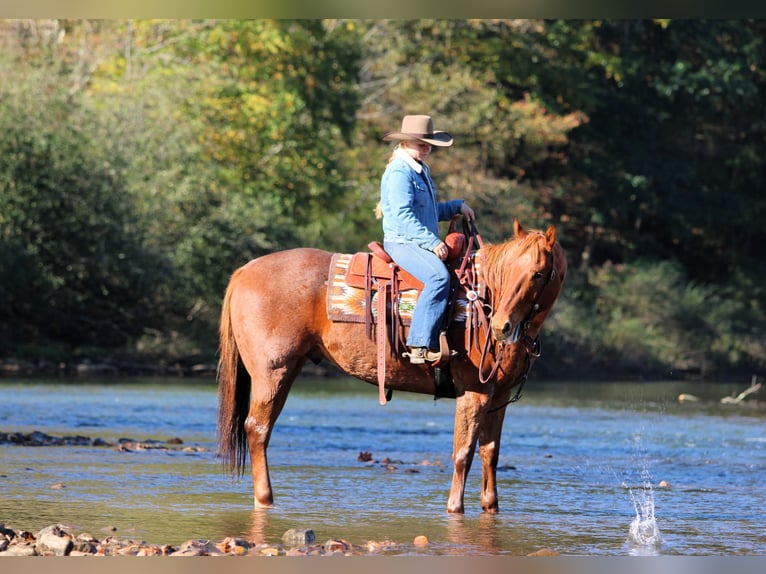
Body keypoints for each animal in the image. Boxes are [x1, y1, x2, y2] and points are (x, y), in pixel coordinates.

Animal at [217, 219, 567, 514]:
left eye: (538, 273)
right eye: (508, 270)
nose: (501, 326)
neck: (481, 301)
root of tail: (244, 271)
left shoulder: (498, 397)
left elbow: (490, 453)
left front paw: (490, 506)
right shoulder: (474, 393)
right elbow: (463, 452)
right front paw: (455, 507)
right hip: (272, 373)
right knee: (257, 429)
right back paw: (265, 498)